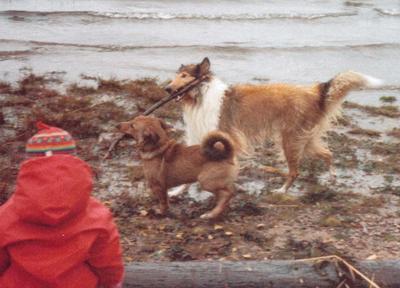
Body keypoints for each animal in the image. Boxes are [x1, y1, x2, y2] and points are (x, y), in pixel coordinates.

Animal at [164, 58, 382, 194]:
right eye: (177, 74)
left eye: (184, 75)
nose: (166, 88)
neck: (200, 95)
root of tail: (313, 93)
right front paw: (177, 192)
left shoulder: (224, 137)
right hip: (305, 138)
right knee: (328, 153)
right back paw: (333, 177)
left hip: (290, 140)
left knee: (295, 171)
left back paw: (281, 190)